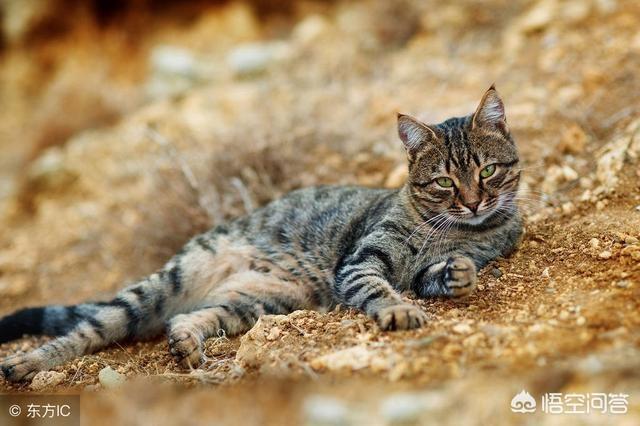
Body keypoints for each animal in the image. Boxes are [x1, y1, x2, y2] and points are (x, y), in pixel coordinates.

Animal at [0, 85, 520, 382]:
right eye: (445, 182)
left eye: (488, 171)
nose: (474, 202)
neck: (455, 230)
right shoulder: (360, 261)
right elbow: (378, 287)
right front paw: (398, 310)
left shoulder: (430, 267)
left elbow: (437, 274)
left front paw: (459, 274)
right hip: (163, 285)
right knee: (89, 328)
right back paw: (28, 364)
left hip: (259, 302)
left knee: (187, 317)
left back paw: (185, 341)